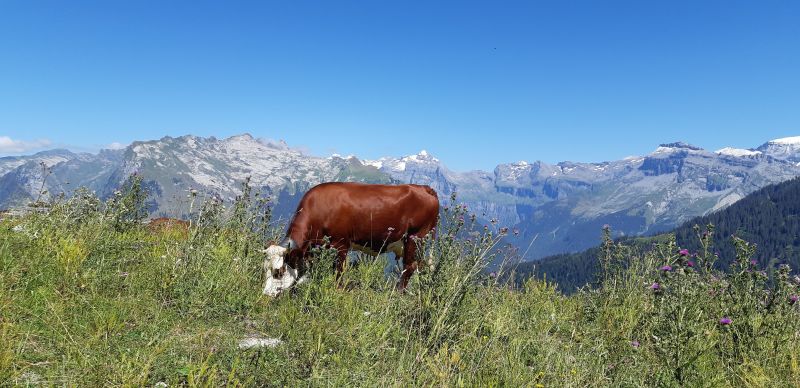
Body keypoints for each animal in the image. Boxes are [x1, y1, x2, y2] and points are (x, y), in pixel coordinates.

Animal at [262, 182, 438, 298]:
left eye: (279, 272)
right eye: (265, 269)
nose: (265, 294)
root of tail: (423, 188)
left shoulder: (341, 243)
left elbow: (338, 270)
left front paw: (338, 290)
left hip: (415, 237)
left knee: (410, 266)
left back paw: (397, 293)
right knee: (417, 266)